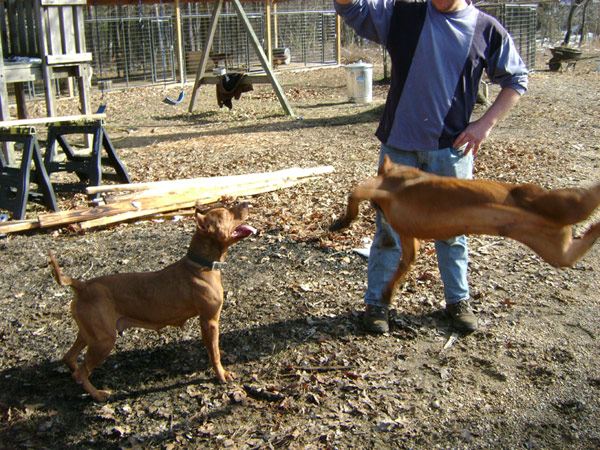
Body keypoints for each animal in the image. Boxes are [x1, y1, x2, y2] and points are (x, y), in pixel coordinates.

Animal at [49, 202, 255, 400]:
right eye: (225, 214)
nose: (246, 203)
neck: (201, 264)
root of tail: (82, 285)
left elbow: (214, 347)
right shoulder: (209, 320)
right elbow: (214, 353)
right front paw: (221, 374)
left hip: (90, 334)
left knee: (69, 358)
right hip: (103, 341)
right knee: (80, 373)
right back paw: (98, 394)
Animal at [330, 155, 600, 306]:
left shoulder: (378, 190)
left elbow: (353, 193)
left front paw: (341, 222)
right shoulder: (409, 239)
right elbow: (401, 269)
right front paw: (387, 294)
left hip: (558, 204)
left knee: (586, 200)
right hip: (554, 249)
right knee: (575, 249)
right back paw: (596, 227)